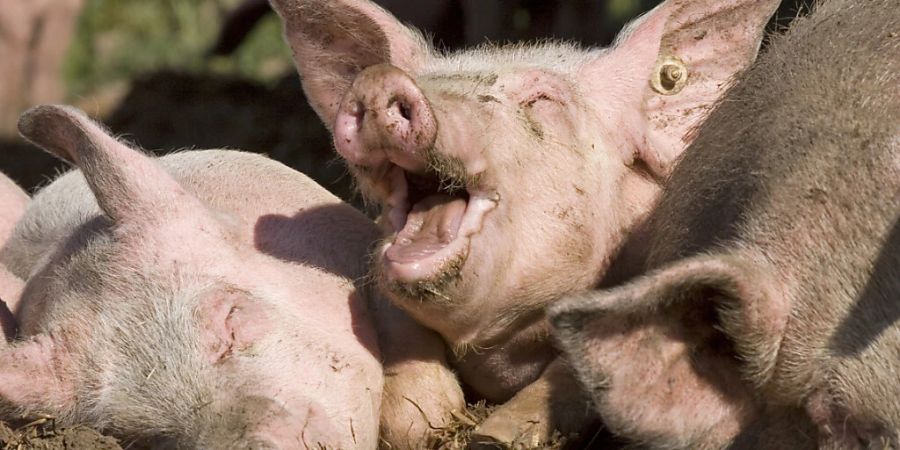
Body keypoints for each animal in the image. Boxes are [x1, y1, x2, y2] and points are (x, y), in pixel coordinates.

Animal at [270, 0, 784, 444]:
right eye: (419, 80)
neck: (501, 354)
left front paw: (494, 437)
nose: (380, 81)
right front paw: (427, 423)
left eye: (542, 100)